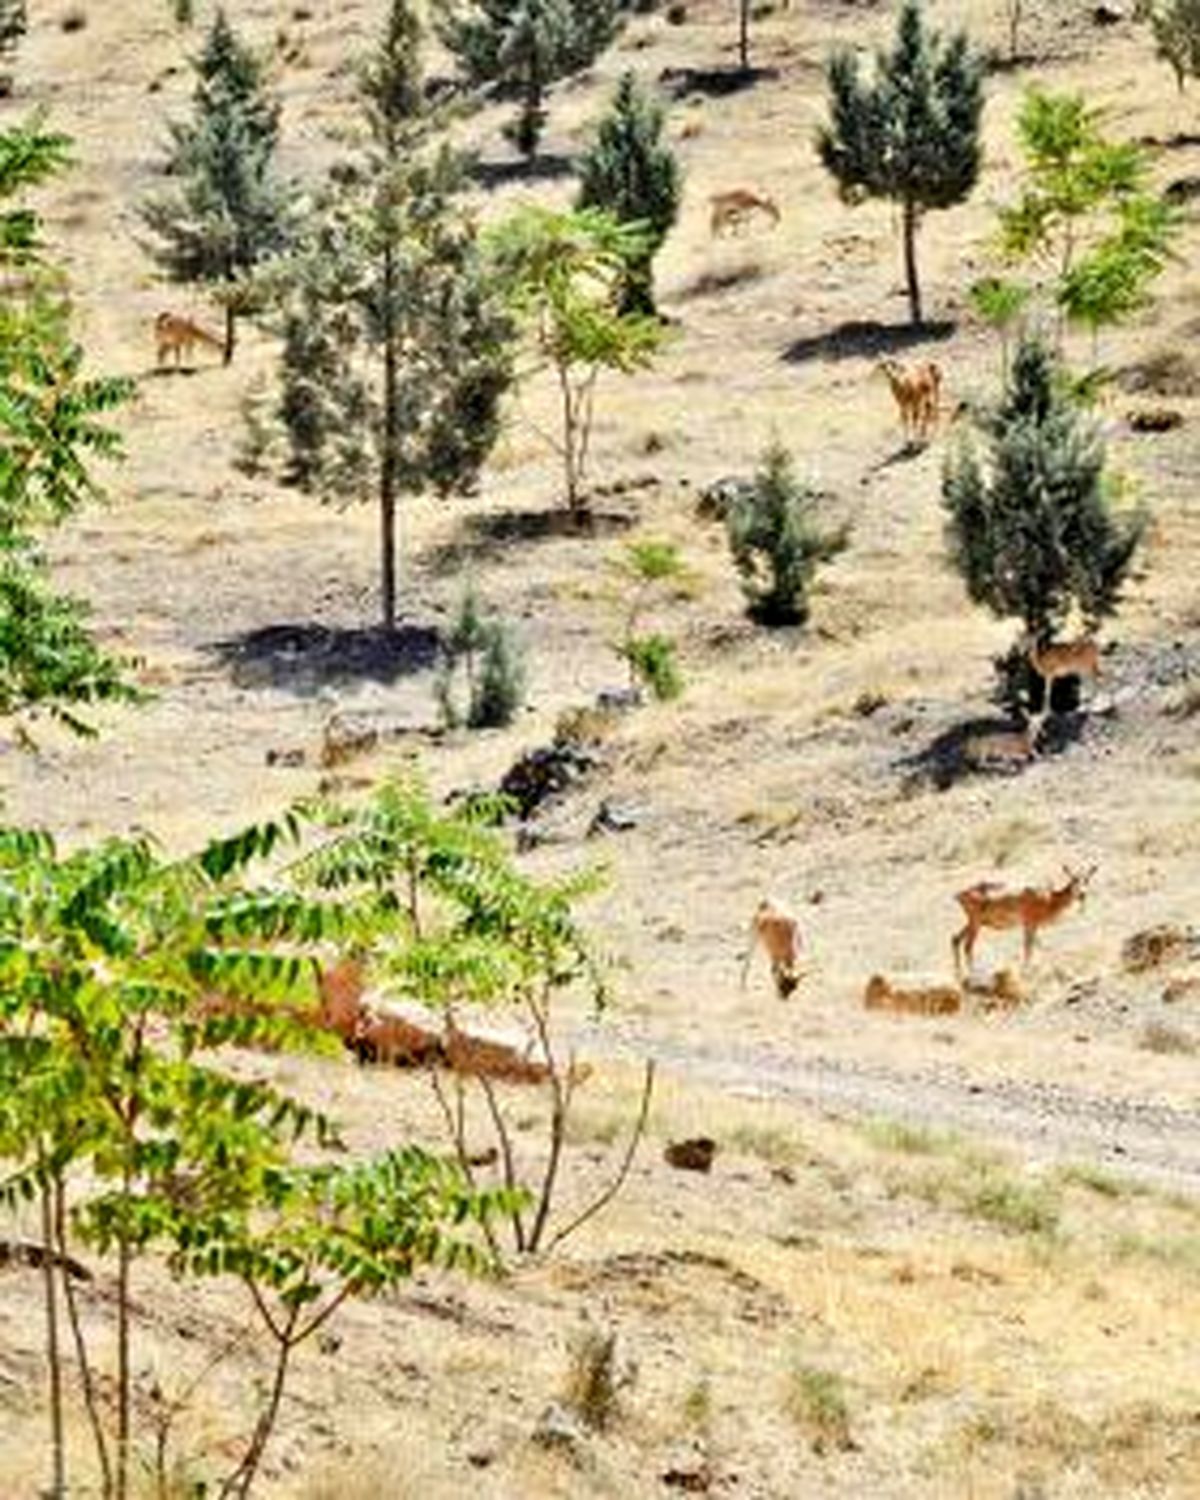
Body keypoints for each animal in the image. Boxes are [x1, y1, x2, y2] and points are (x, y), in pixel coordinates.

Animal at [954, 864, 1098, 978]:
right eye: (1074, 880)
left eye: (1087, 880)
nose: (1082, 894)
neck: (1049, 898)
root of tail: (959, 894)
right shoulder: (1030, 923)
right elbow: (1029, 946)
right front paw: (1026, 970)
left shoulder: (1030, 925)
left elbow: (1034, 945)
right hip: (976, 922)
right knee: (968, 946)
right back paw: (973, 973)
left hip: (973, 922)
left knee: (955, 939)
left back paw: (959, 974)